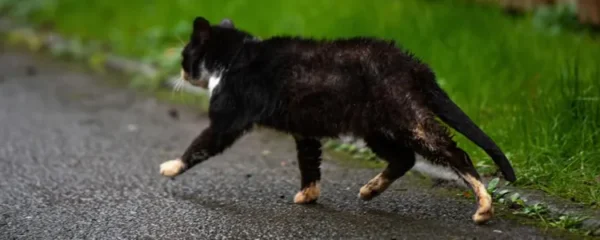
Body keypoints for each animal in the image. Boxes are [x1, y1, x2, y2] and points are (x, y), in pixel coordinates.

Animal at [159, 16, 516, 225]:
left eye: (185, 55)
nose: (181, 71)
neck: (234, 58)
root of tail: (415, 65)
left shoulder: (227, 121)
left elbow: (200, 145)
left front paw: (171, 167)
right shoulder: (304, 130)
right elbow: (309, 163)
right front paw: (309, 195)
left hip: (407, 119)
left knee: (456, 153)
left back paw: (484, 207)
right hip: (377, 128)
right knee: (405, 158)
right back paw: (370, 190)